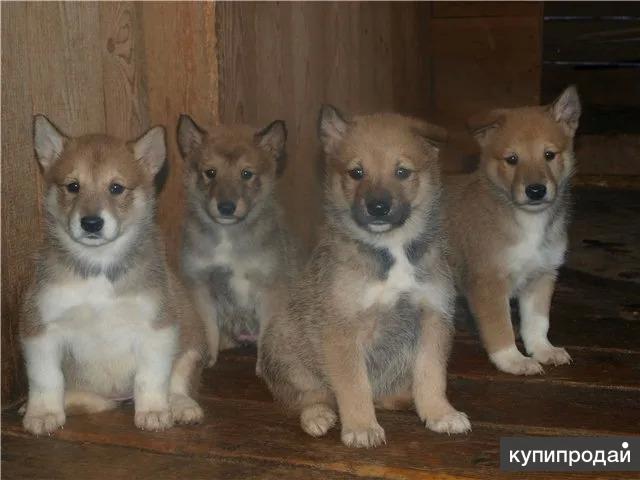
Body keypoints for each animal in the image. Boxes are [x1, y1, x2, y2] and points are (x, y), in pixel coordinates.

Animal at [20, 115, 205, 436]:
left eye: (116, 188)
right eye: (73, 186)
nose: (91, 223)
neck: (99, 267)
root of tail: (119, 397)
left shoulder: (157, 328)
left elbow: (151, 378)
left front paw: (153, 411)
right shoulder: (40, 329)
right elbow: (45, 379)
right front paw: (42, 414)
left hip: (191, 344)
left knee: (178, 383)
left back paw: (181, 406)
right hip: (96, 396)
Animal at [175, 115, 296, 368]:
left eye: (246, 173)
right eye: (210, 172)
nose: (226, 207)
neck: (228, 237)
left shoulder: (272, 287)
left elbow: (266, 336)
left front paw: (263, 368)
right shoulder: (201, 286)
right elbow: (209, 330)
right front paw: (207, 361)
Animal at [258, 107, 470, 448]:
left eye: (402, 172)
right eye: (356, 173)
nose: (378, 207)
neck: (392, 250)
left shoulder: (433, 317)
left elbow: (432, 376)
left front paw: (440, 413)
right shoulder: (343, 329)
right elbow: (354, 386)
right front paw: (361, 426)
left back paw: (404, 399)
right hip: (284, 354)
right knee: (308, 397)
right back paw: (318, 416)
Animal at [442, 88, 584, 376]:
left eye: (549, 155)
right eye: (512, 159)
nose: (536, 190)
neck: (528, 222)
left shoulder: (541, 276)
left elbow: (537, 323)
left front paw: (543, 350)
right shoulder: (488, 282)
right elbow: (500, 328)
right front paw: (513, 360)